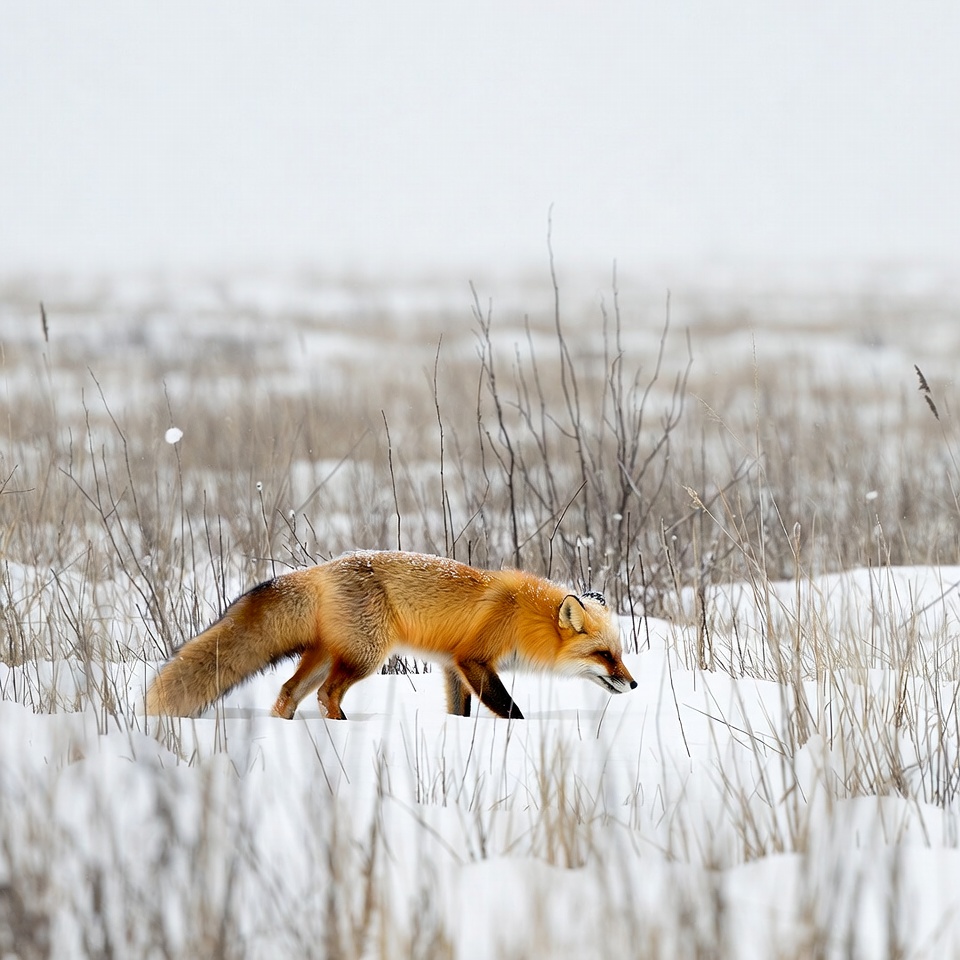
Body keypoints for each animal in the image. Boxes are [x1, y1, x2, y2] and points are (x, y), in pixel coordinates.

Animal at [145, 550, 637, 720]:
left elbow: (459, 711)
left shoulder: (451, 666)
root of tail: (319, 569)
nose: (633, 684)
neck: (521, 615)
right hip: (367, 655)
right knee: (325, 695)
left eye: (619, 653)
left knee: (287, 693)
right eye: (604, 654)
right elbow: (508, 708)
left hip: (330, 655)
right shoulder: (475, 660)